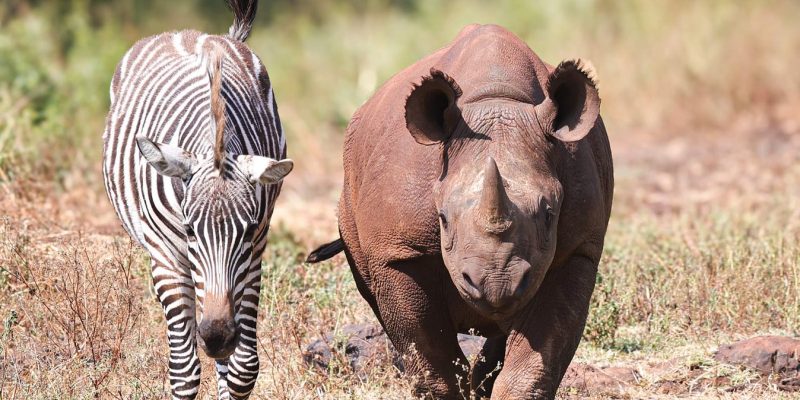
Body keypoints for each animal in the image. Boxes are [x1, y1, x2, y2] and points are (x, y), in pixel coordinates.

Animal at [102, 1, 292, 398]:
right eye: (190, 230)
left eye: (247, 231)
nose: (217, 337)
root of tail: (193, 33)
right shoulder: (167, 257)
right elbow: (184, 370)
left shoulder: (254, 254)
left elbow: (242, 368)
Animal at [308, 24, 613, 399]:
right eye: (442, 218)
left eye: (548, 214)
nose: (496, 283)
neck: (497, 100)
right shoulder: (398, 252)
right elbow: (429, 355)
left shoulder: (576, 249)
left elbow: (538, 359)